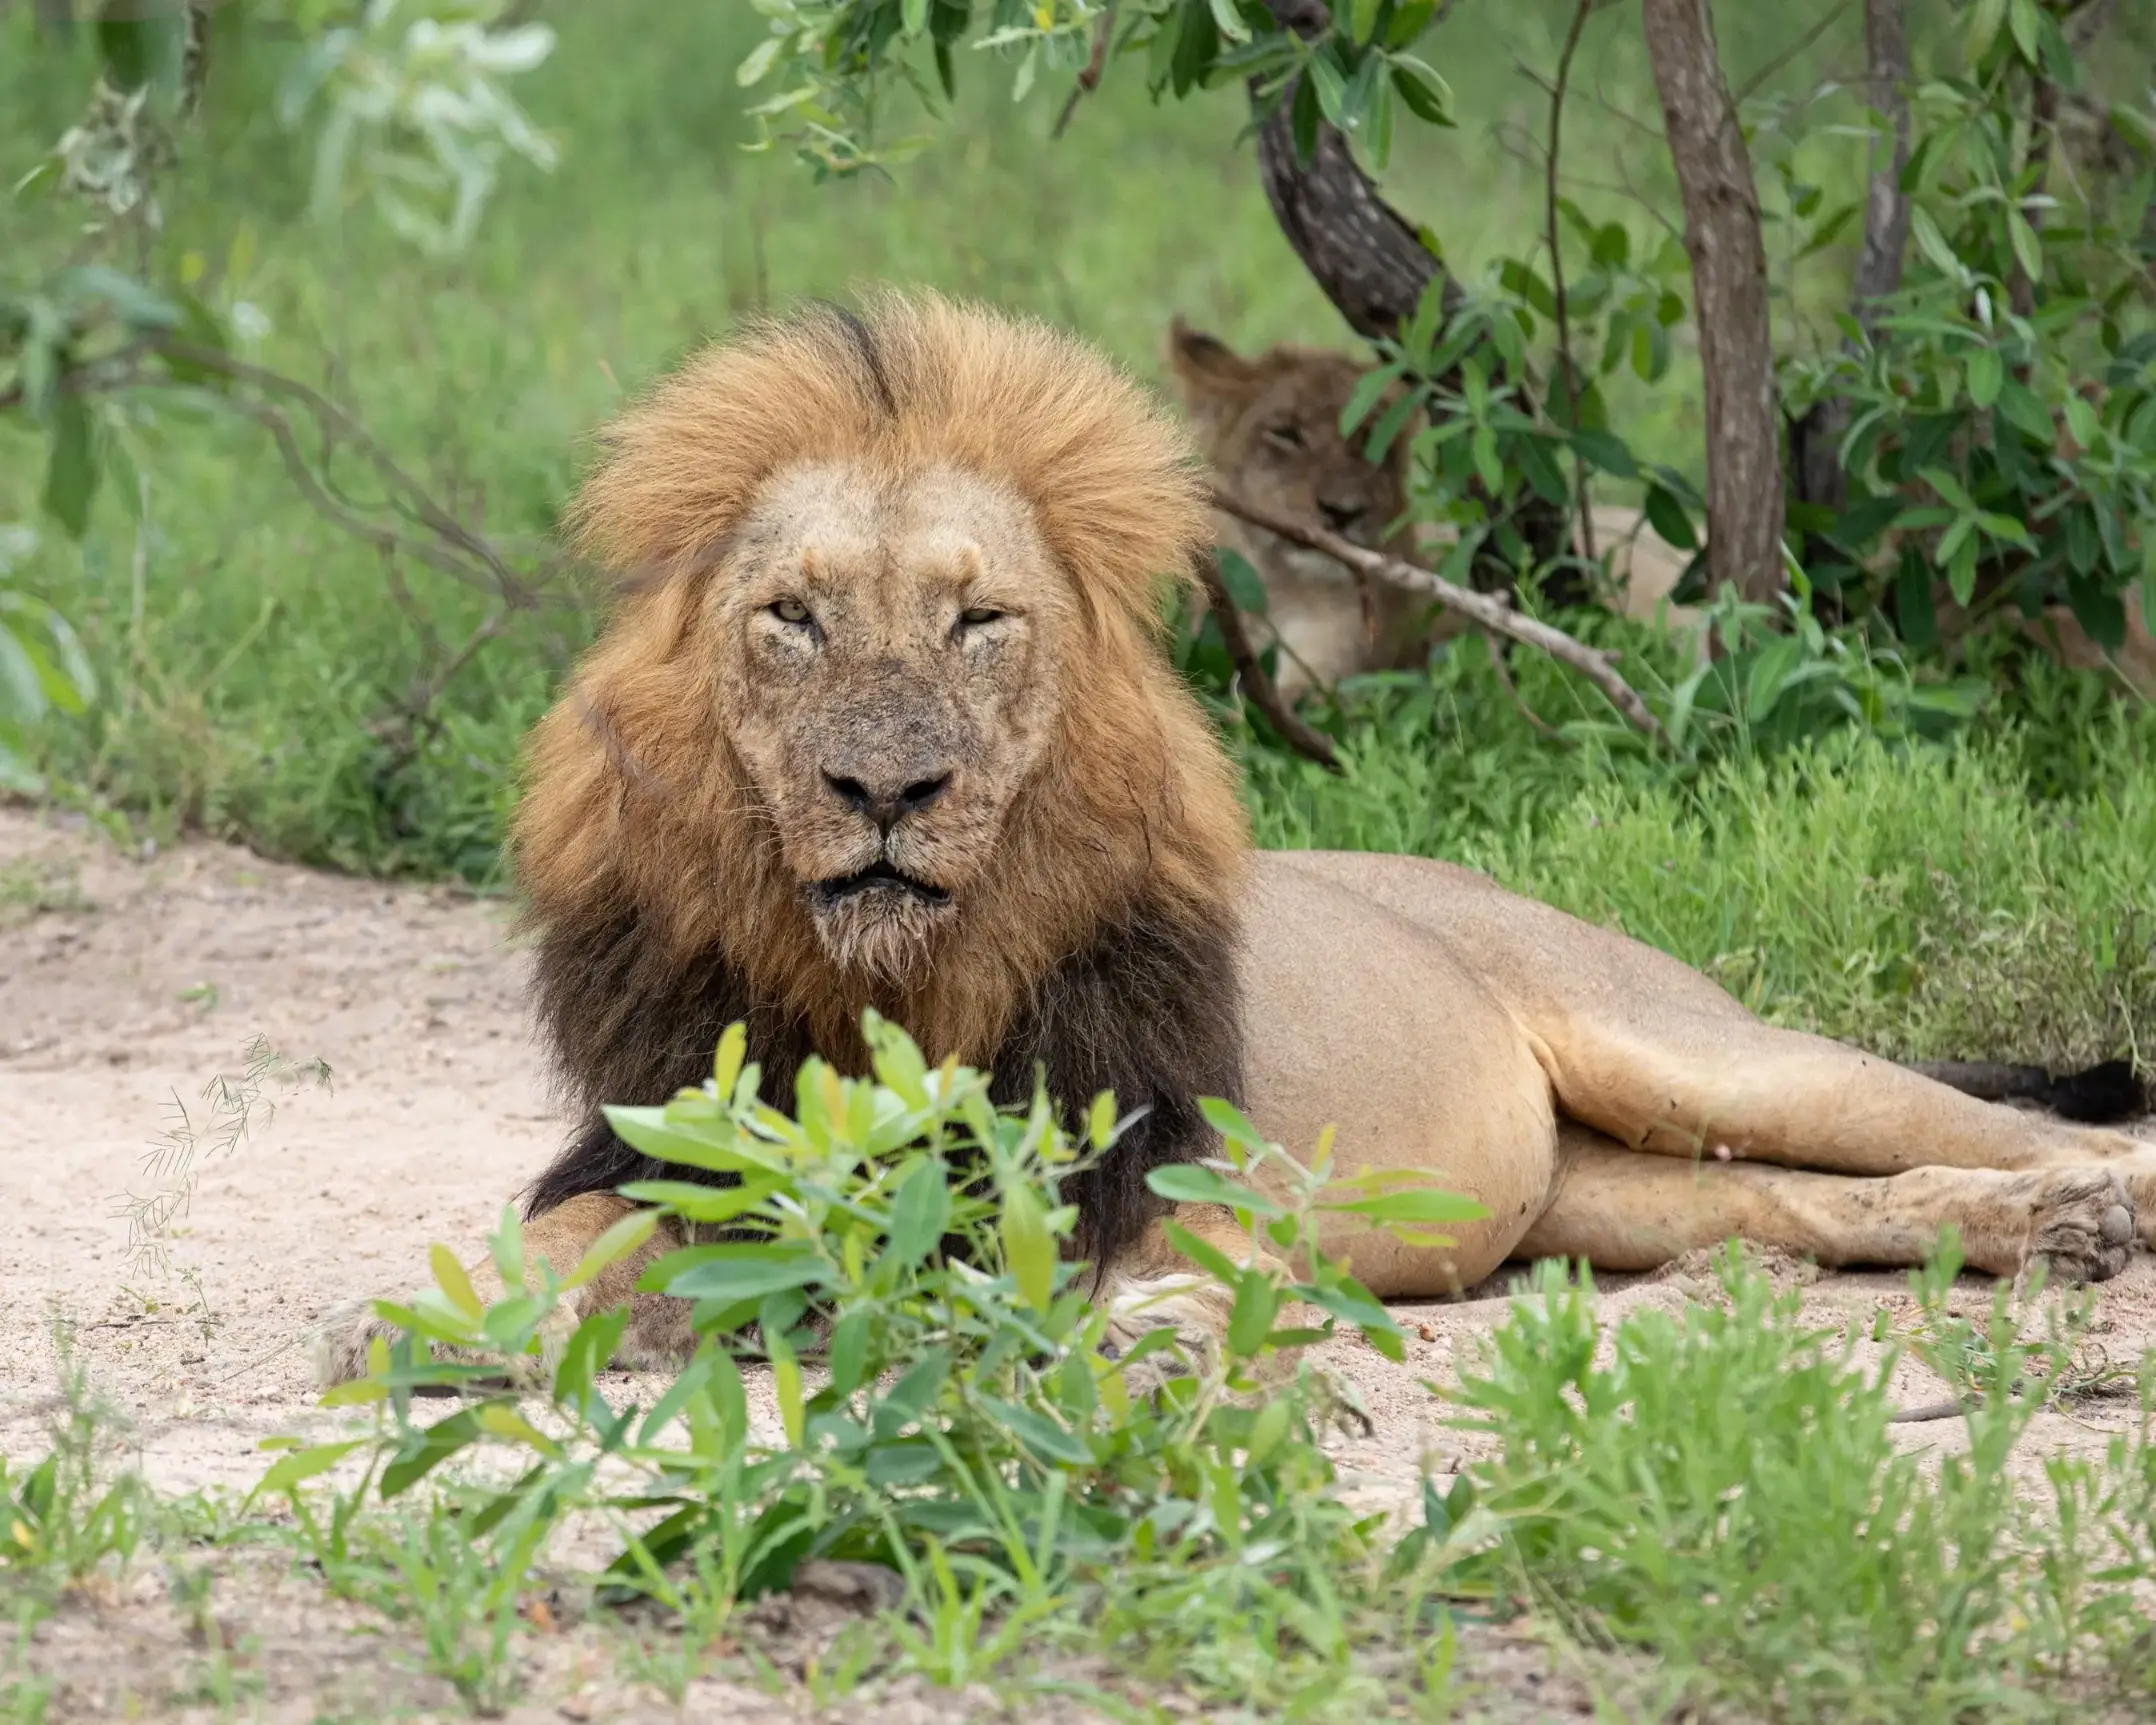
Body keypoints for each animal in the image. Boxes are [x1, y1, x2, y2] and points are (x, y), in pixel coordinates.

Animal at [317, 292, 2152, 1385]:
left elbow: (1090, 1292)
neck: (898, 988)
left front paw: (1132, 1340)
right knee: (1815, 1207)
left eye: (978, 622)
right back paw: (2035, 1236)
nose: (887, 791)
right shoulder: (661, 1166)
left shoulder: (1144, 1179)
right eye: (793, 620)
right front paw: (416, 1330)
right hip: (1615, 1195)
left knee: (1969, 1122)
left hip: (1693, 1049)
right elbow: (522, 1263)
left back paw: (2094, 1202)